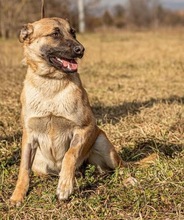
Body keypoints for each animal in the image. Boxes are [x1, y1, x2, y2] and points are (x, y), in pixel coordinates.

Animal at [9, 17, 123, 206]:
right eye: (55, 34)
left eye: (73, 33)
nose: (81, 50)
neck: (51, 82)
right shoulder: (29, 135)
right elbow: (23, 168)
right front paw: (18, 195)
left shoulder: (85, 128)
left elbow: (70, 154)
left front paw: (65, 186)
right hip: (39, 161)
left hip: (103, 143)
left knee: (121, 167)